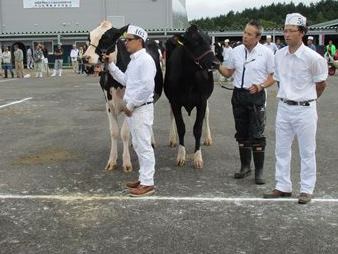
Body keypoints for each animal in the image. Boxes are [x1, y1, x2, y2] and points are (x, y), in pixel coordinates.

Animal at [164, 24, 219, 169]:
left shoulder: (202, 101)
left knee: (207, 114)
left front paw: (198, 158)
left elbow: (197, 129)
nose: (216, 63)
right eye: (195, 42)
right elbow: (181, 127)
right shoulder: (175, 101)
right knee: (171, 115)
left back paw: (208, 138)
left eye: (209, 42)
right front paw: (181, 156)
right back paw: (172, 139)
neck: (189, 79)